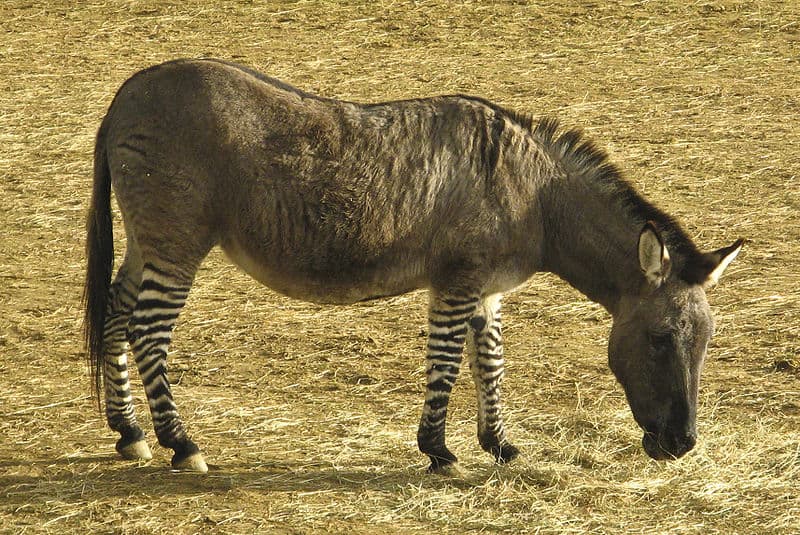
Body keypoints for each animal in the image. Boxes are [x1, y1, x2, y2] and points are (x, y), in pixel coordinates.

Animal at [83, 58, 744, 474]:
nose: (682, 446)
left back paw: (129, 433)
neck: (535, 195)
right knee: (147, 330)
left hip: (148, 239)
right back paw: (181, 443)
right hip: (176, 240)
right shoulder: (456, 281)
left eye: (706, 344)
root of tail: (127, 91)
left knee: (115, 311)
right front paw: (439, 452)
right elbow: (448, 364)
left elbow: (491, 363)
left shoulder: (487, 290)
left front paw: (500, 446)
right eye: (659, 340)